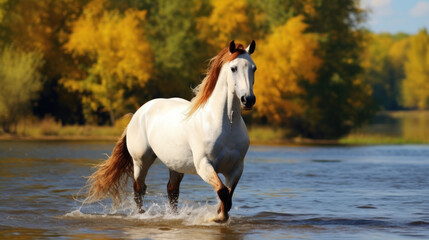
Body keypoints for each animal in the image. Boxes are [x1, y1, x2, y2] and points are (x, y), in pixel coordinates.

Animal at [85, 39, 256, 223]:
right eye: (234, 68)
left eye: (253, 68)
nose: (248, 100)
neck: (225, 124)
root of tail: (138, 114)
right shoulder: (204, 165)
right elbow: (223, 193)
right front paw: (216, 218)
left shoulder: (236, 169)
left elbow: (227, 197)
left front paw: (218, 215)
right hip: (141, 161)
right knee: (139, 188)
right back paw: (142, 215)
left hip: (175, 165)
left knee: (172, 190)